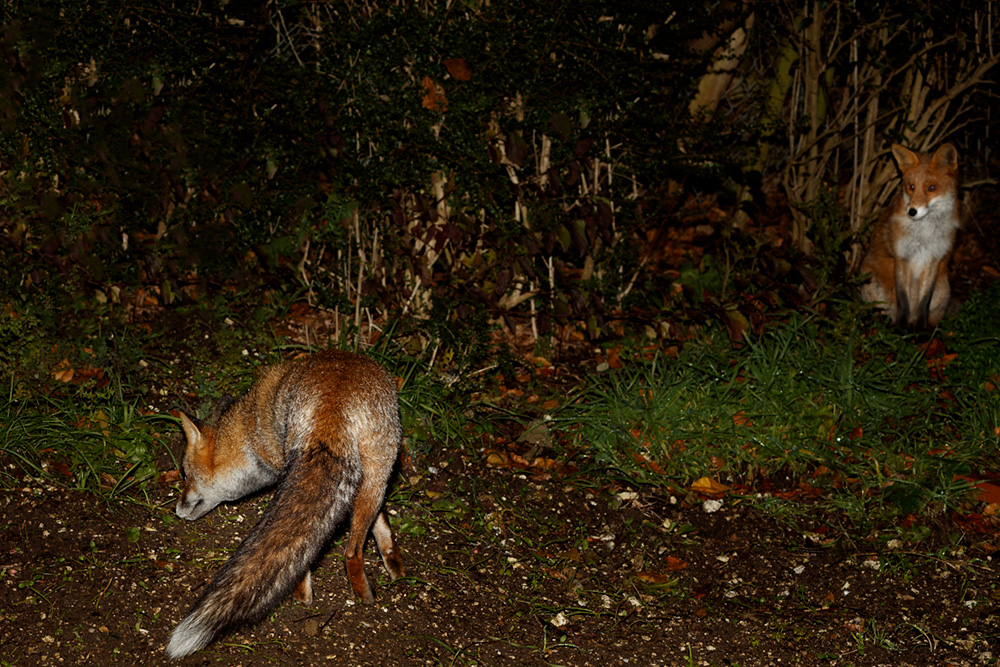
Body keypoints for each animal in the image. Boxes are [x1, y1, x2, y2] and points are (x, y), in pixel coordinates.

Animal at [165, 350, 405, 660]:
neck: (252, 429)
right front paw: (390, 555)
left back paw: (317, 595)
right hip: (380, 471)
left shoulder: (282, 466)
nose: (177, 509)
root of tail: (333, 405)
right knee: (352, 545)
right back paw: (374, 588)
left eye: (185, 475)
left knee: (334, 550)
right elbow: (381, 521)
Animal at [860, 142, 961, 328]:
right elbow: (903, 300)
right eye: (911, 186)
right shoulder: (901, 257)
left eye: (931, 188)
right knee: (883, 309)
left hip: (943, 288)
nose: (912, 211)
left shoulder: (934, 259)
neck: (924, 233)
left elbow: (924, 303)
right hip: (871, 281)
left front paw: (921, 329)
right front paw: (901, 328)